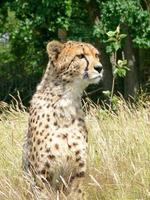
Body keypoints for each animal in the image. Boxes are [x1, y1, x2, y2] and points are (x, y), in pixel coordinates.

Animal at [23, 39, 103, 199]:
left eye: (96, 55)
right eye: (81, 56)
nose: (100, 68)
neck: (66, 100)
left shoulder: (78, 172)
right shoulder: (42, 175)